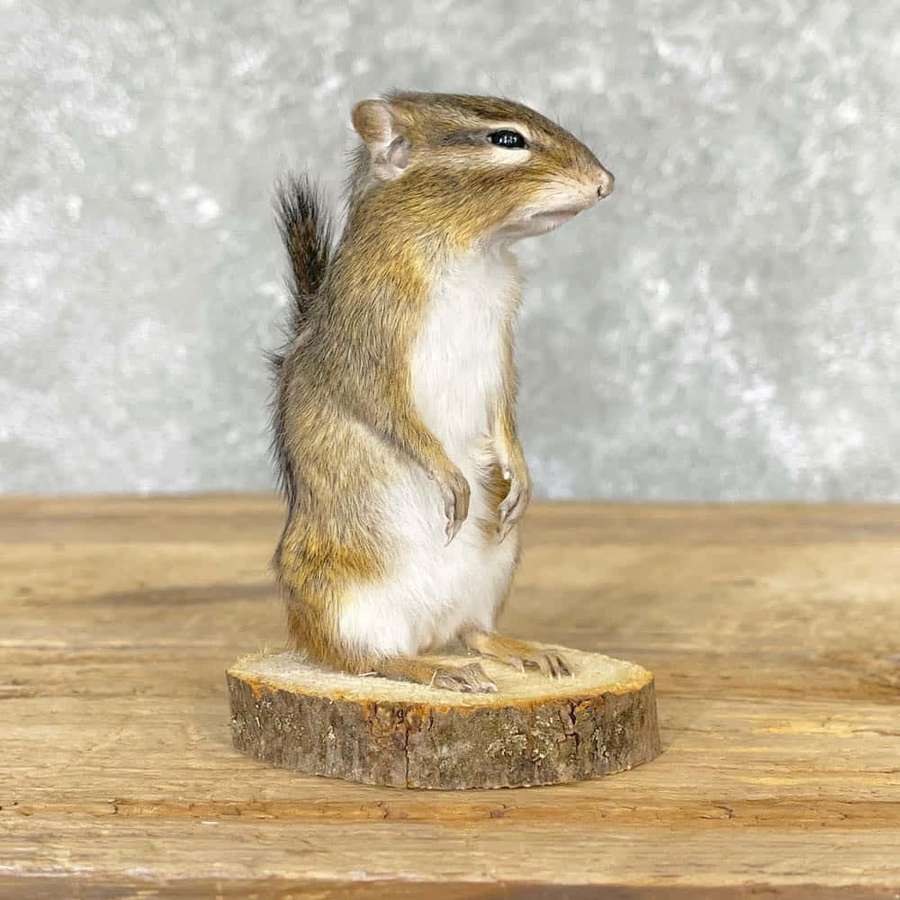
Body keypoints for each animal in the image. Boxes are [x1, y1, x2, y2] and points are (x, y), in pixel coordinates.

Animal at [270, 92, 613, 693]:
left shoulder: (501, 347)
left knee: (473, 632)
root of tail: (427, 630)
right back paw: (435, 670)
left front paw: (521, 474)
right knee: (365, 658)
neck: (471, 253)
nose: (605, 182)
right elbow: (387, 411)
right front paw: (447, 476)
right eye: (506, 139)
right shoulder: (367, 343)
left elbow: (504, 410)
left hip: (495, 567)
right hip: (343, 597)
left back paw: (522, 650)